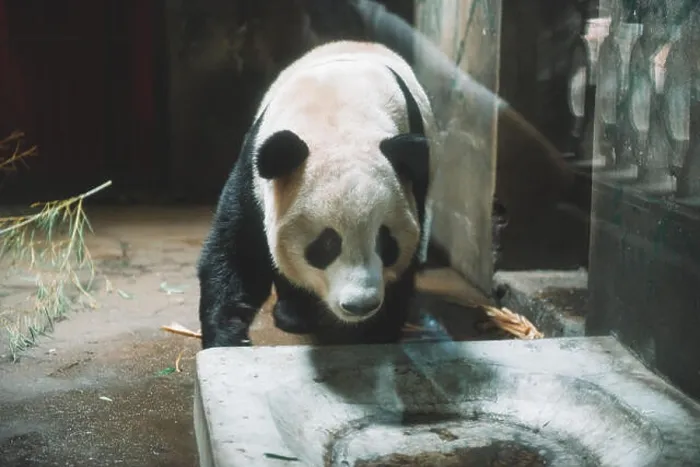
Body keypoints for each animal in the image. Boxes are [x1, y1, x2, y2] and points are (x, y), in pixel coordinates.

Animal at [197, 40, 437, 348]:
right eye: (326, 244)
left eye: (385, 241)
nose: (359, 305)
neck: (337, 113)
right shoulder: (254, 174)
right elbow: (238, 251)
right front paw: (228, 339)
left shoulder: (412, 186)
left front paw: (377, 334)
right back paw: (293, 313)